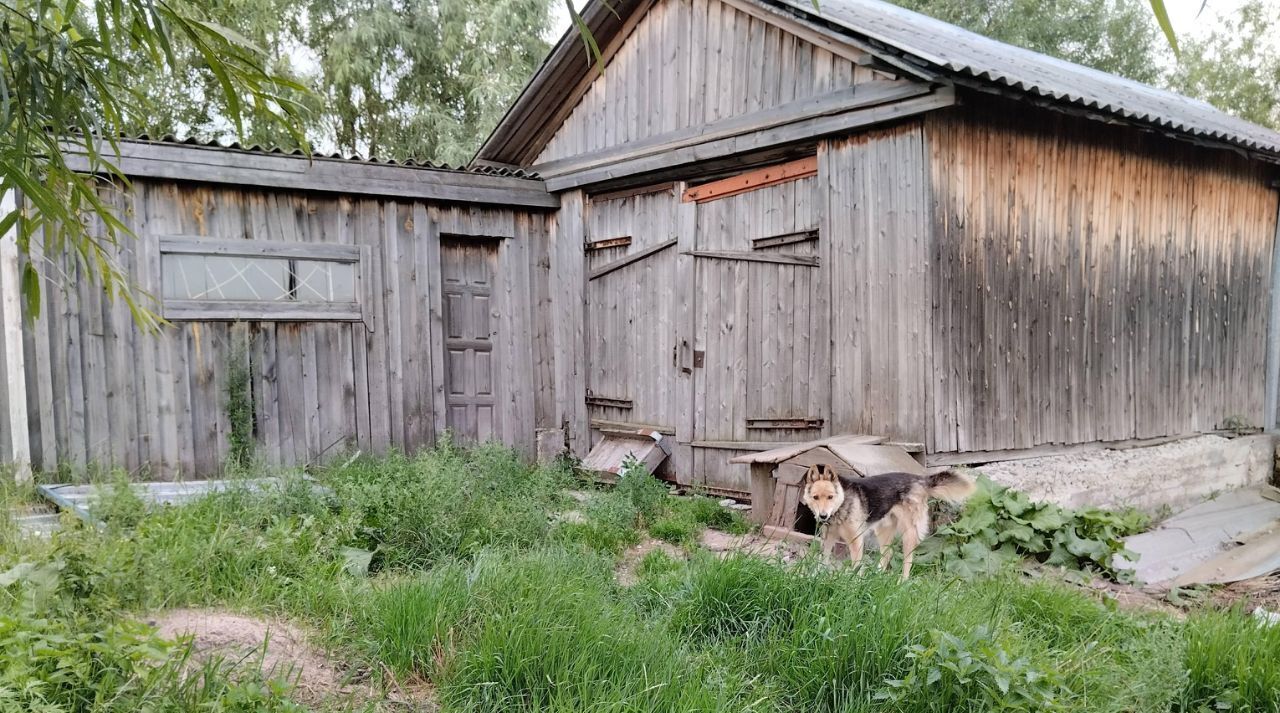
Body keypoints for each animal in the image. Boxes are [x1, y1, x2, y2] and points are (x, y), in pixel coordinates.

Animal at [803, 460, 972, 578]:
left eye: (830, 497)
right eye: (815, 497)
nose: (823, 516)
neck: (841, 504)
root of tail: (921, 479)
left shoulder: (856, 540)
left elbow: (856, 565)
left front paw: (854, 583)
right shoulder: (827, 538)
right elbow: (821, 560)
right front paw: (814, 576)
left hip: (909, 533)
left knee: (908, 560)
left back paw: (901, 583)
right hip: (883, 530)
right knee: (887, 554)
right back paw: (877, 576)